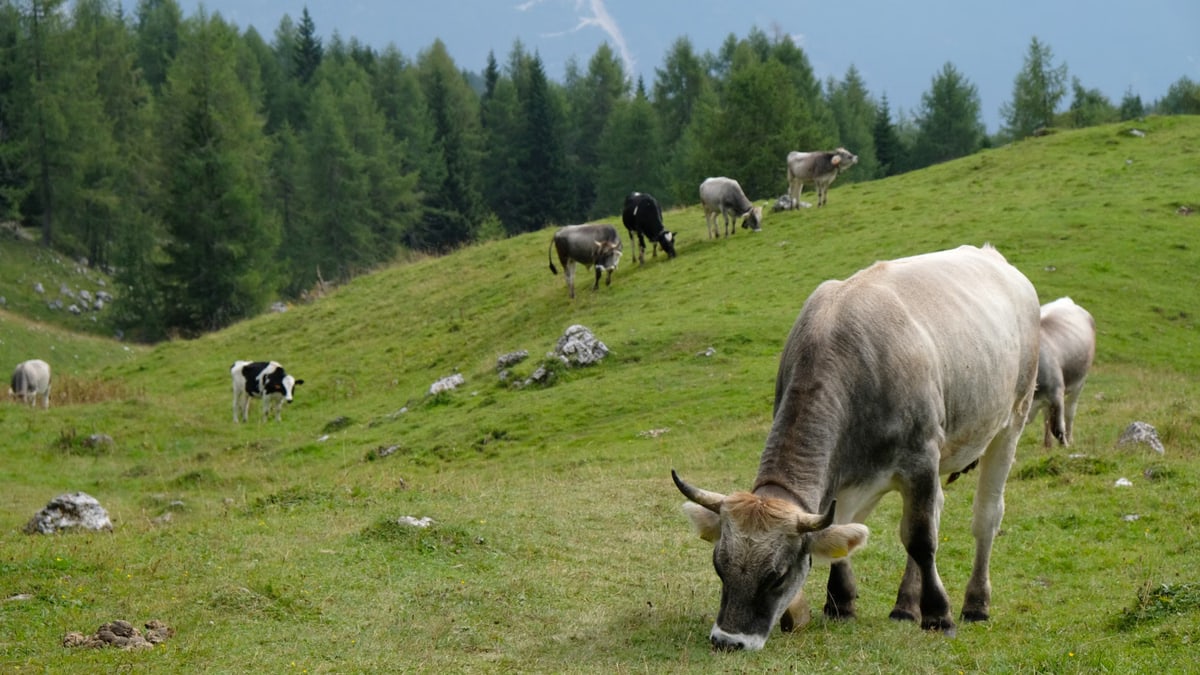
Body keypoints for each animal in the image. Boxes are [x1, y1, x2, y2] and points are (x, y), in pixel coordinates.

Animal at [673, 244, 1040, 651]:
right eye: (718, 566)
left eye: (777, 576)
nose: (728, 640)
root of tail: (993, 257)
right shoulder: (850, 475)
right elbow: (845, 530)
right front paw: (840, 601)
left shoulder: (920, 460)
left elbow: (921, 539)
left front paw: (937, 614)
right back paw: (904, 605)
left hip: (1011, 420)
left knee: (984, 516)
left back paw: (975, 604)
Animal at [1026, 297, 1096, 447]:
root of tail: (1066, 300)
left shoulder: (1056, 393)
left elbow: (1058, 428)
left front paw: (1065, 446)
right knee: (1047, 417)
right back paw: (1047, 445)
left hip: (1080, 382)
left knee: (1070, 412)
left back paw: (1068, 439)